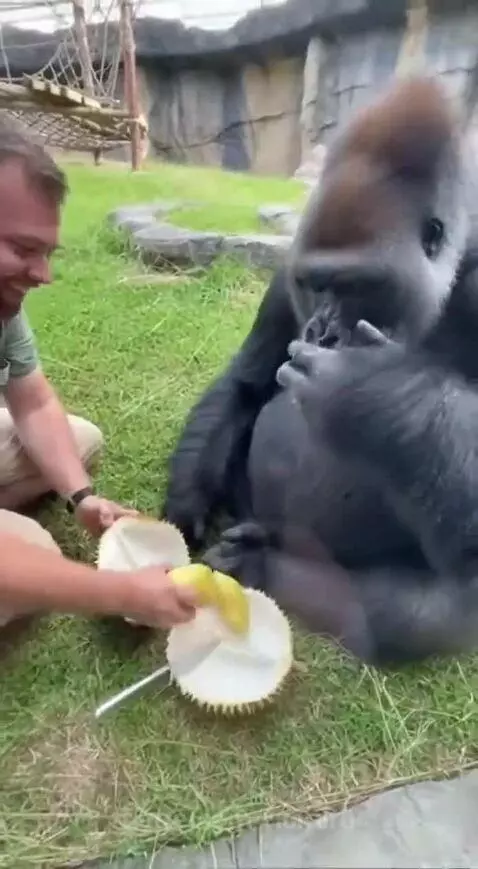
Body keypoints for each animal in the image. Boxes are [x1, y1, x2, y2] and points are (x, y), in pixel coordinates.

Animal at [162, 75, 472, 556]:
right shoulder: (286, 269)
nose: (322, 333)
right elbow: (244, 387)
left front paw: (366, 387)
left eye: (358, 286)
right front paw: (185, 503)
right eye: (314, 284)